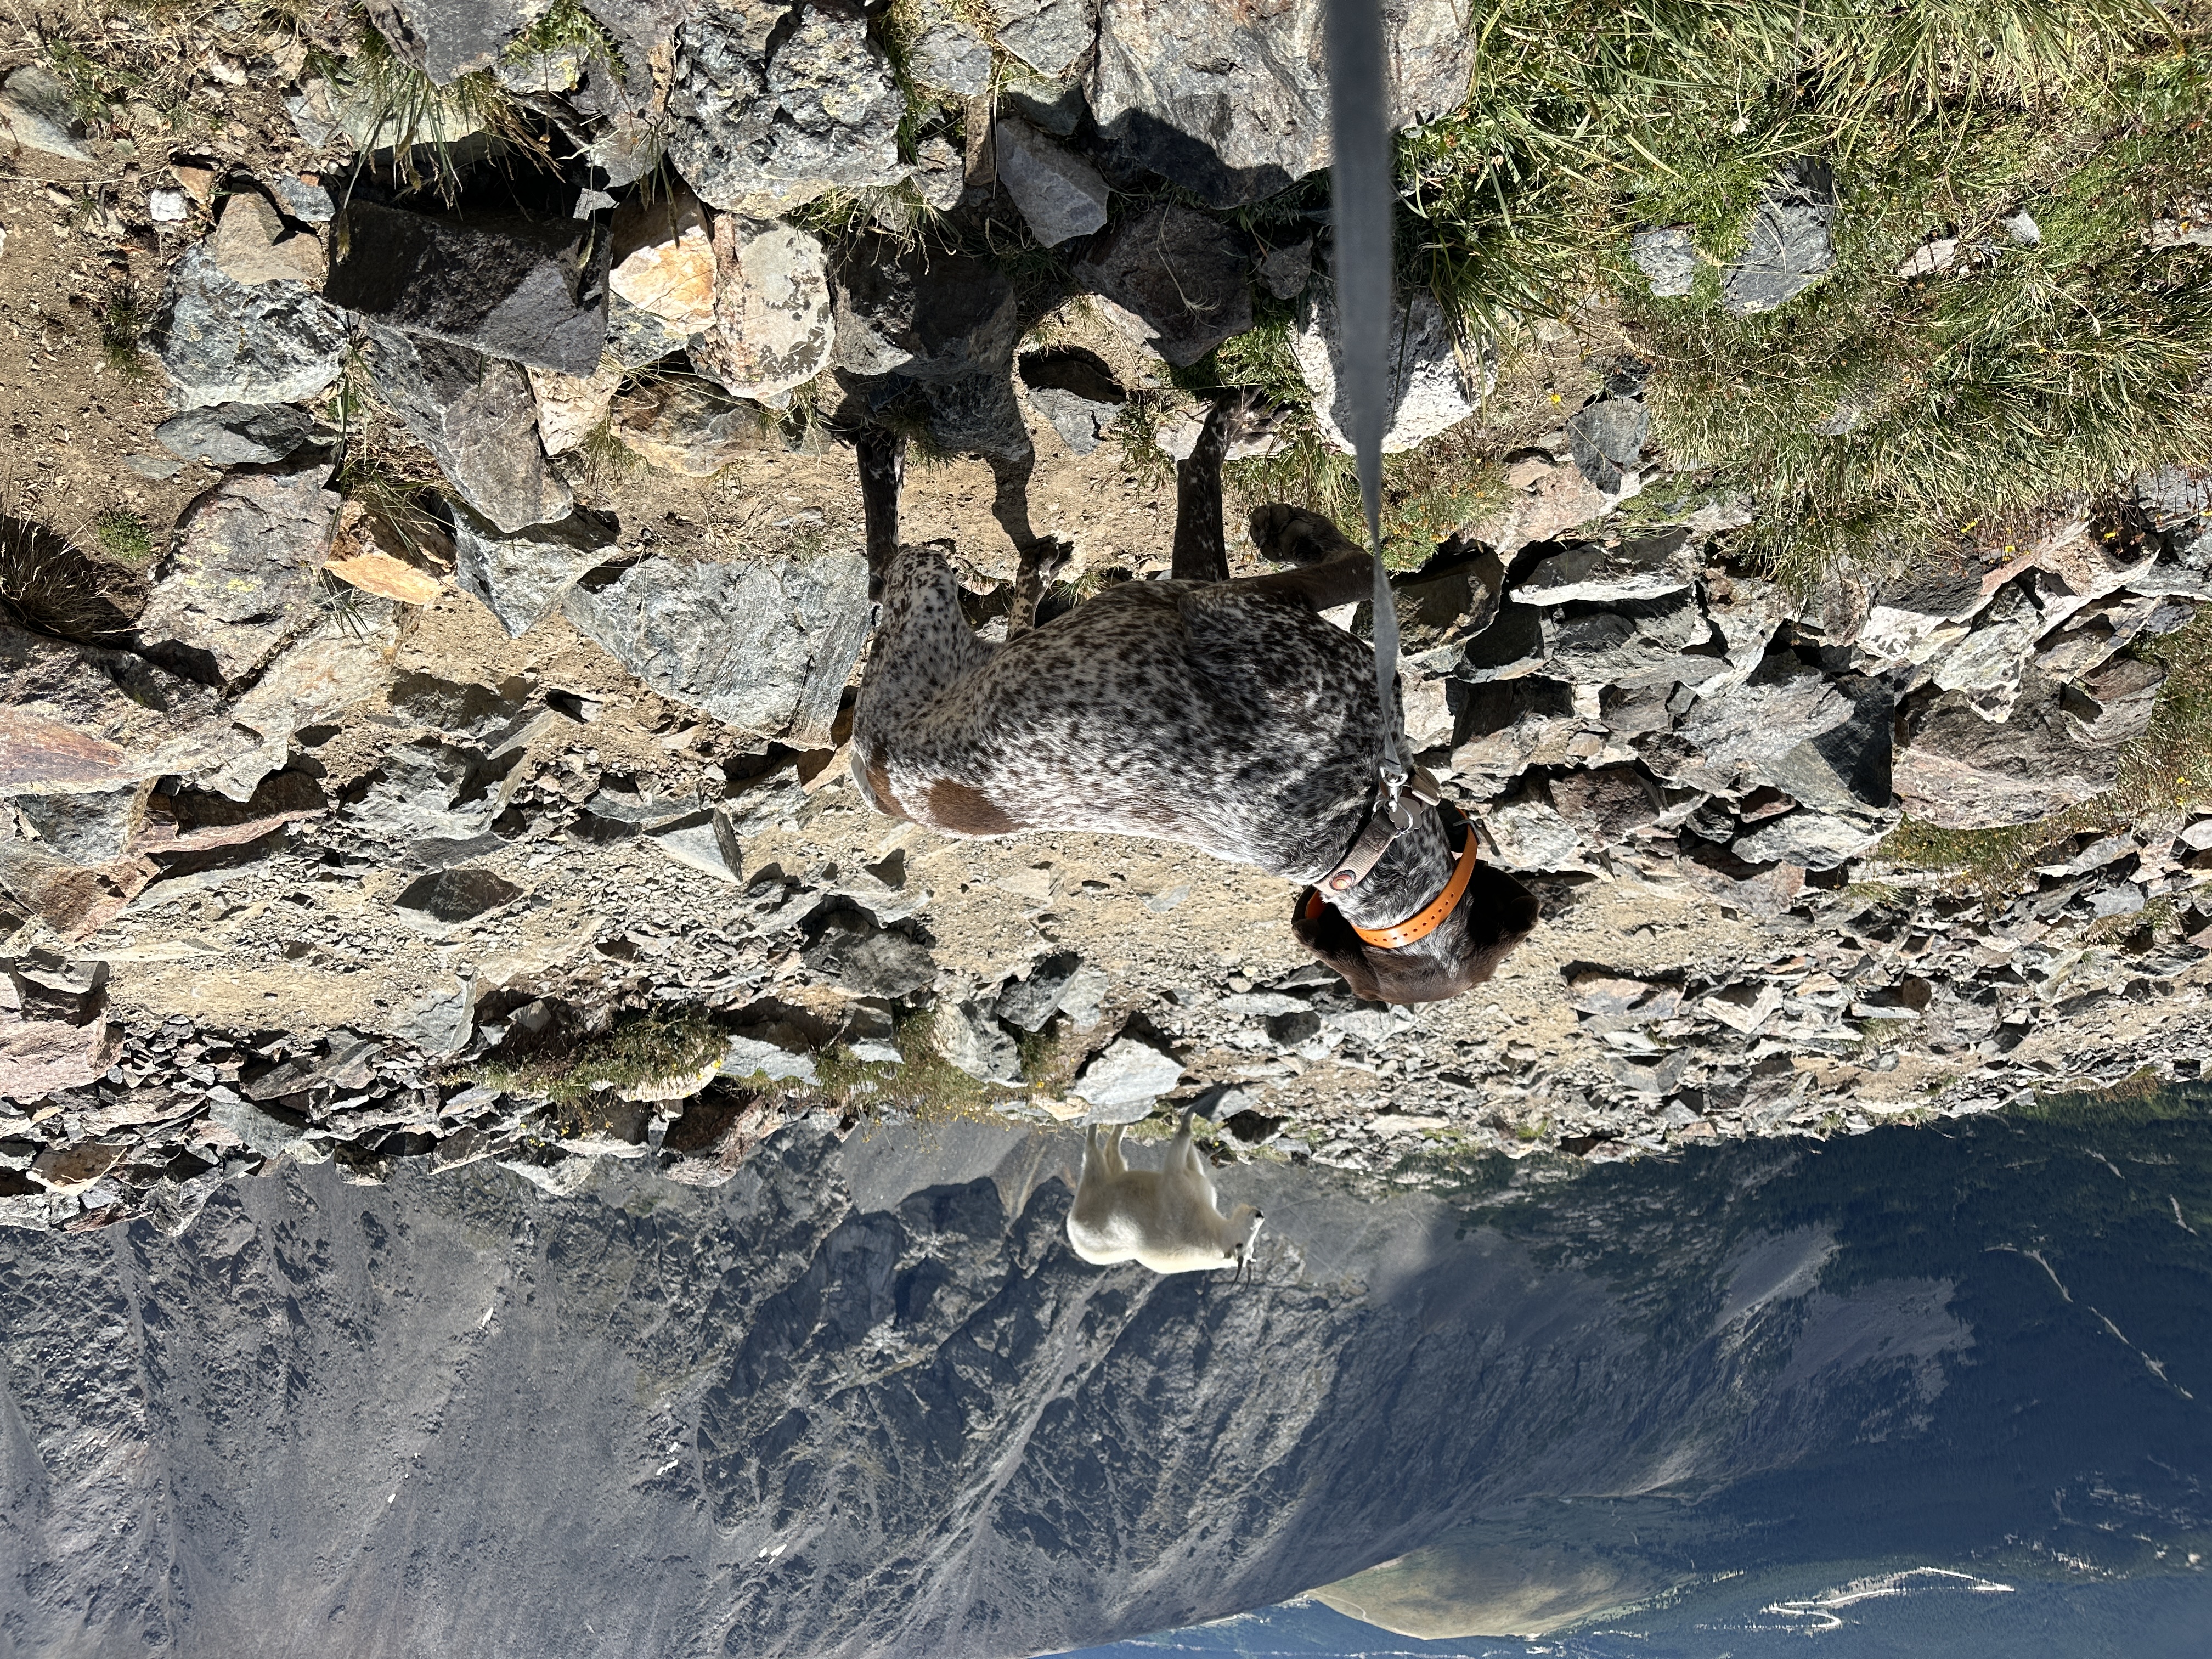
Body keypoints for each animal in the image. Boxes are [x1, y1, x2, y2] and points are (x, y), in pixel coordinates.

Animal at [1066, 1105, 1265, 1278]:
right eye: (1243, 1246)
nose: (1259, 1215)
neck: (1215, 1234)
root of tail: (1072, 1226)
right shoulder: (1193, 1185)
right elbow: (1191, 1160)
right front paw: (1189, 1117)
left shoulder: (1179, 1187)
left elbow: (1180, 1152)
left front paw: (1188, 1117)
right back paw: (1115, 1126)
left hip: (1099, 1194)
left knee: (1098, 1159)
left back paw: (1099, 1127)